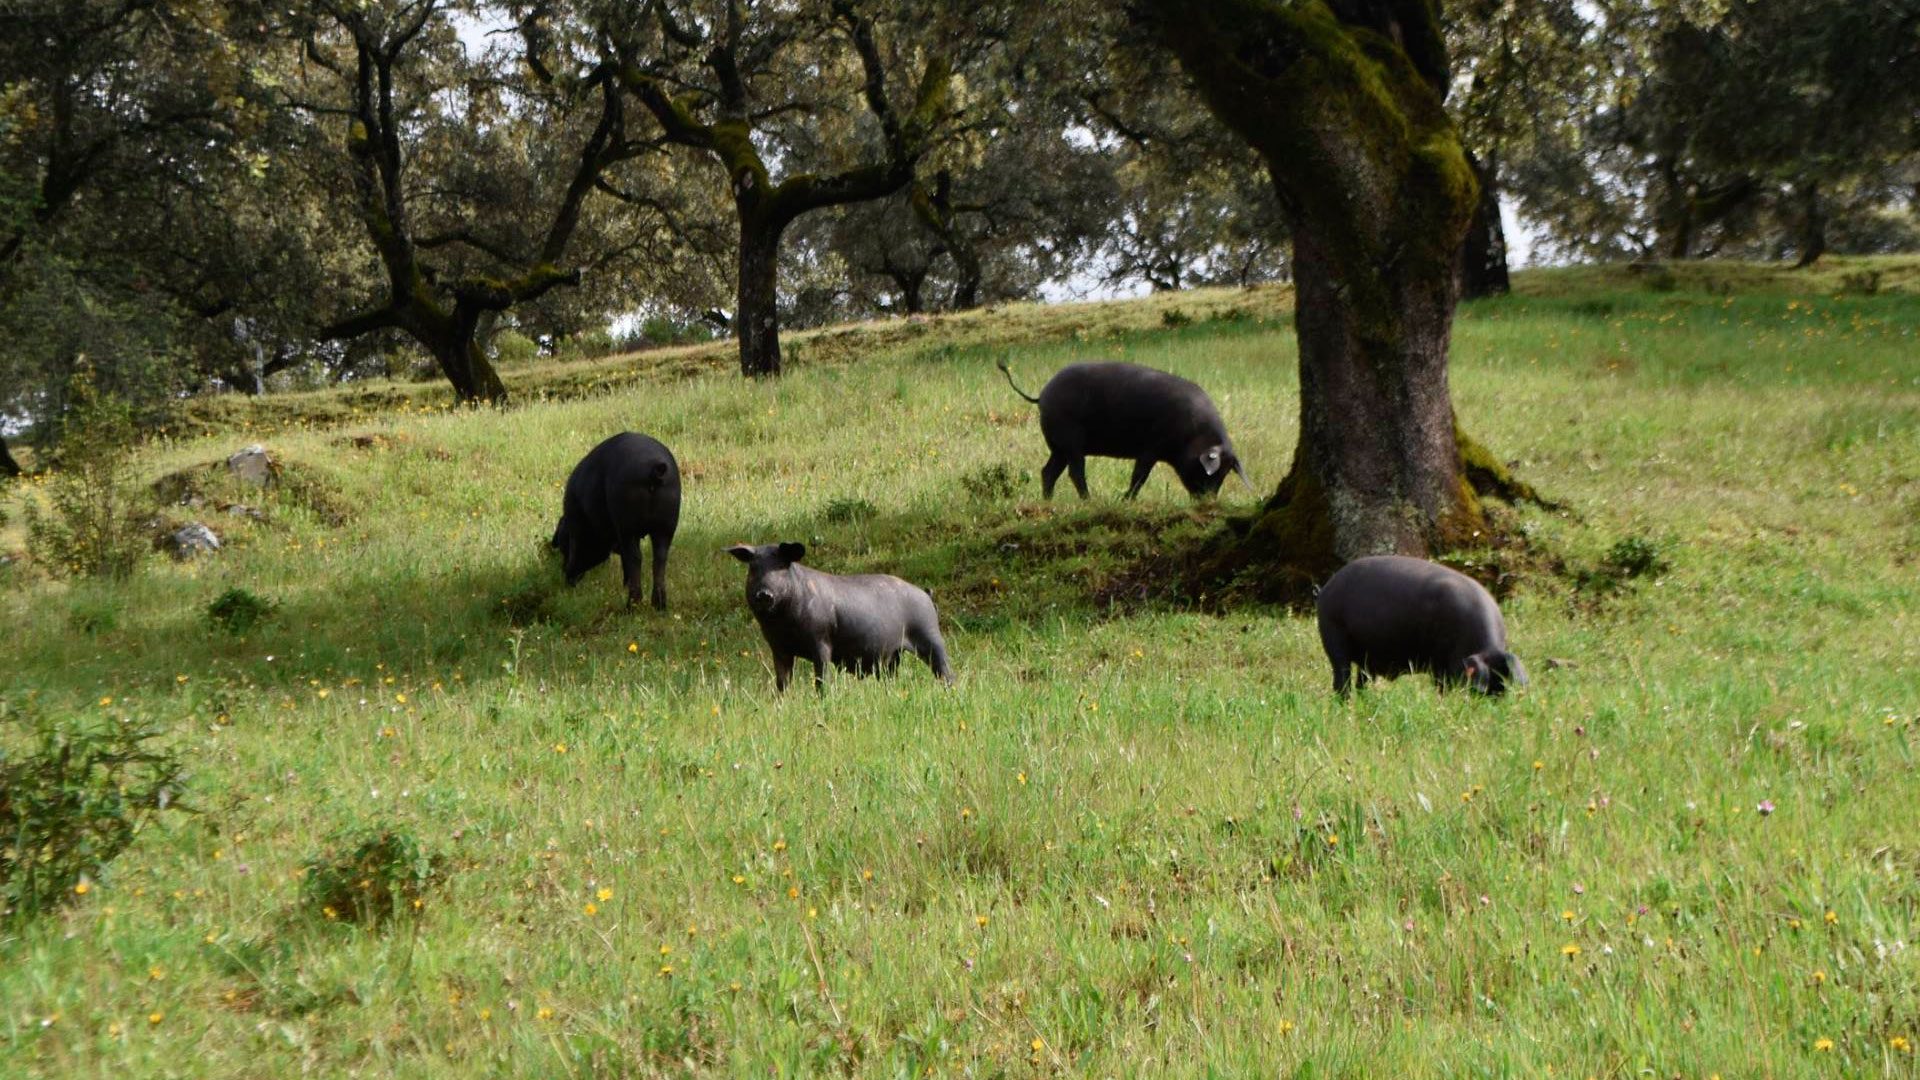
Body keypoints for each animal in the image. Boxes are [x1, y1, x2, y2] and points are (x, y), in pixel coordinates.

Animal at [549, 430, 683, 614]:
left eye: (563, 542)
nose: (565, 576)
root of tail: (654, 469)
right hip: (666, 526)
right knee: (659, 559)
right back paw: (659, 607)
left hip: (628, 526)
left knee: (635, 558)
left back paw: (630, 608)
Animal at [721, 538, 956, 687]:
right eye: (753, 568)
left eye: (781, 566)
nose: (764, 593)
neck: (783, 623)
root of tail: (926, 594)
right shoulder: (778, 648)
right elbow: (782, 682)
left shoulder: (821, 641)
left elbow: (822, 679)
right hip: (892, 656)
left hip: (930, 636)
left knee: (946, 671)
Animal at [998, 359, 1251, 499]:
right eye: (1211, 472)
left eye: (1225, 474)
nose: (1209, 502)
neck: (1193, 435)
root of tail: (1042, 394)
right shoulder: (1151, 447)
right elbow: (1140, 476)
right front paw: (1125, 500)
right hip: (1071, 441)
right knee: (1075, 472)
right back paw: (1090, 501)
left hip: (1058, 447)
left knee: (1048, 472)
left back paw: (1048, 501)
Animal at [1313, 553, 1520, 699]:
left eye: (1502, 686)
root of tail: (1326, 590)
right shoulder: (1439, 662)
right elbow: (1442, 686)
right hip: (1334, 635)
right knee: (1342, 680)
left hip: (1366, 658)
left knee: (1362, 683)